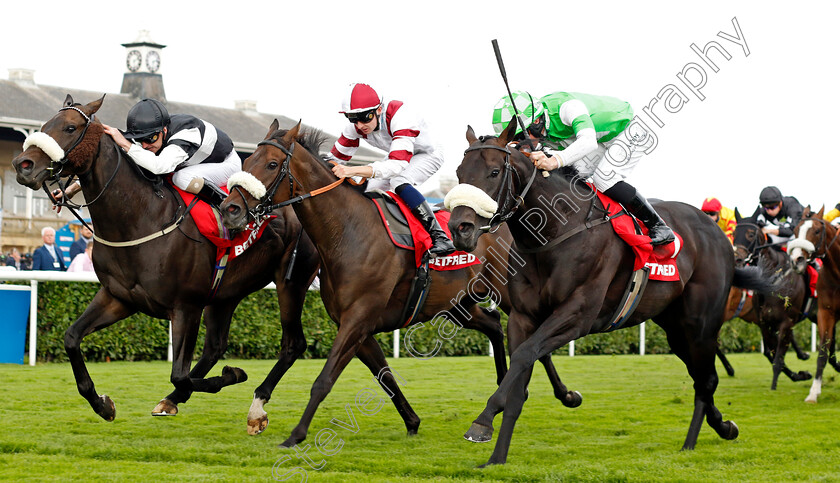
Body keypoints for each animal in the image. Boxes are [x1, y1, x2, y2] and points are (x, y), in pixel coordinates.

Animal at [12, 96, 322, 430]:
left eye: (70, 127)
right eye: (45, 125)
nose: (22, 165)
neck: (140, 218)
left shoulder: (186, 307)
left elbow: (180, 374)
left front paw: (233, 373)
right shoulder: (119, 297)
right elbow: (71, 338)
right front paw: (102, 404)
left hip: (291, 283)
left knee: (292, 344)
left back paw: (255, 407)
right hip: (225, 293)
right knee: (215, 347)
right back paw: (173, 399)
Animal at [220, 121, 580, 450]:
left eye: (271, 164)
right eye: (247, 162)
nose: (229, 209)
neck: (348, 231)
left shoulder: (358, 319)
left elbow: (324, 381)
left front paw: (295, 435)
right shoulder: (359, 327)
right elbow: (385, 377)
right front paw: (412, 422)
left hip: (505, 295)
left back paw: (563, 394)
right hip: (456, 305)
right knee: (493, 325)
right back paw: (508, 387)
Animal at [446, 122, 776, 468]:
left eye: (494, 172)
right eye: (459, 172)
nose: (460, 228)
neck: (555, 233)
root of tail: (720, 235)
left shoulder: (577, 314)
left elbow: (525, 356)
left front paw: (482, 421)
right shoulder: (522, 317)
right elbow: (518, 377)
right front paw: (496, 456)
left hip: (701, 324)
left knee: (707, 379)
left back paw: (692, 441)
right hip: (676, 328)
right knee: (701, 376)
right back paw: (723, 426)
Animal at [788, 206, 840, 402]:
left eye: (817, 231)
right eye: (796, 231)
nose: (797, 260)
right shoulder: (826, 313)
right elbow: (823, 352)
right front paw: (814, 392)